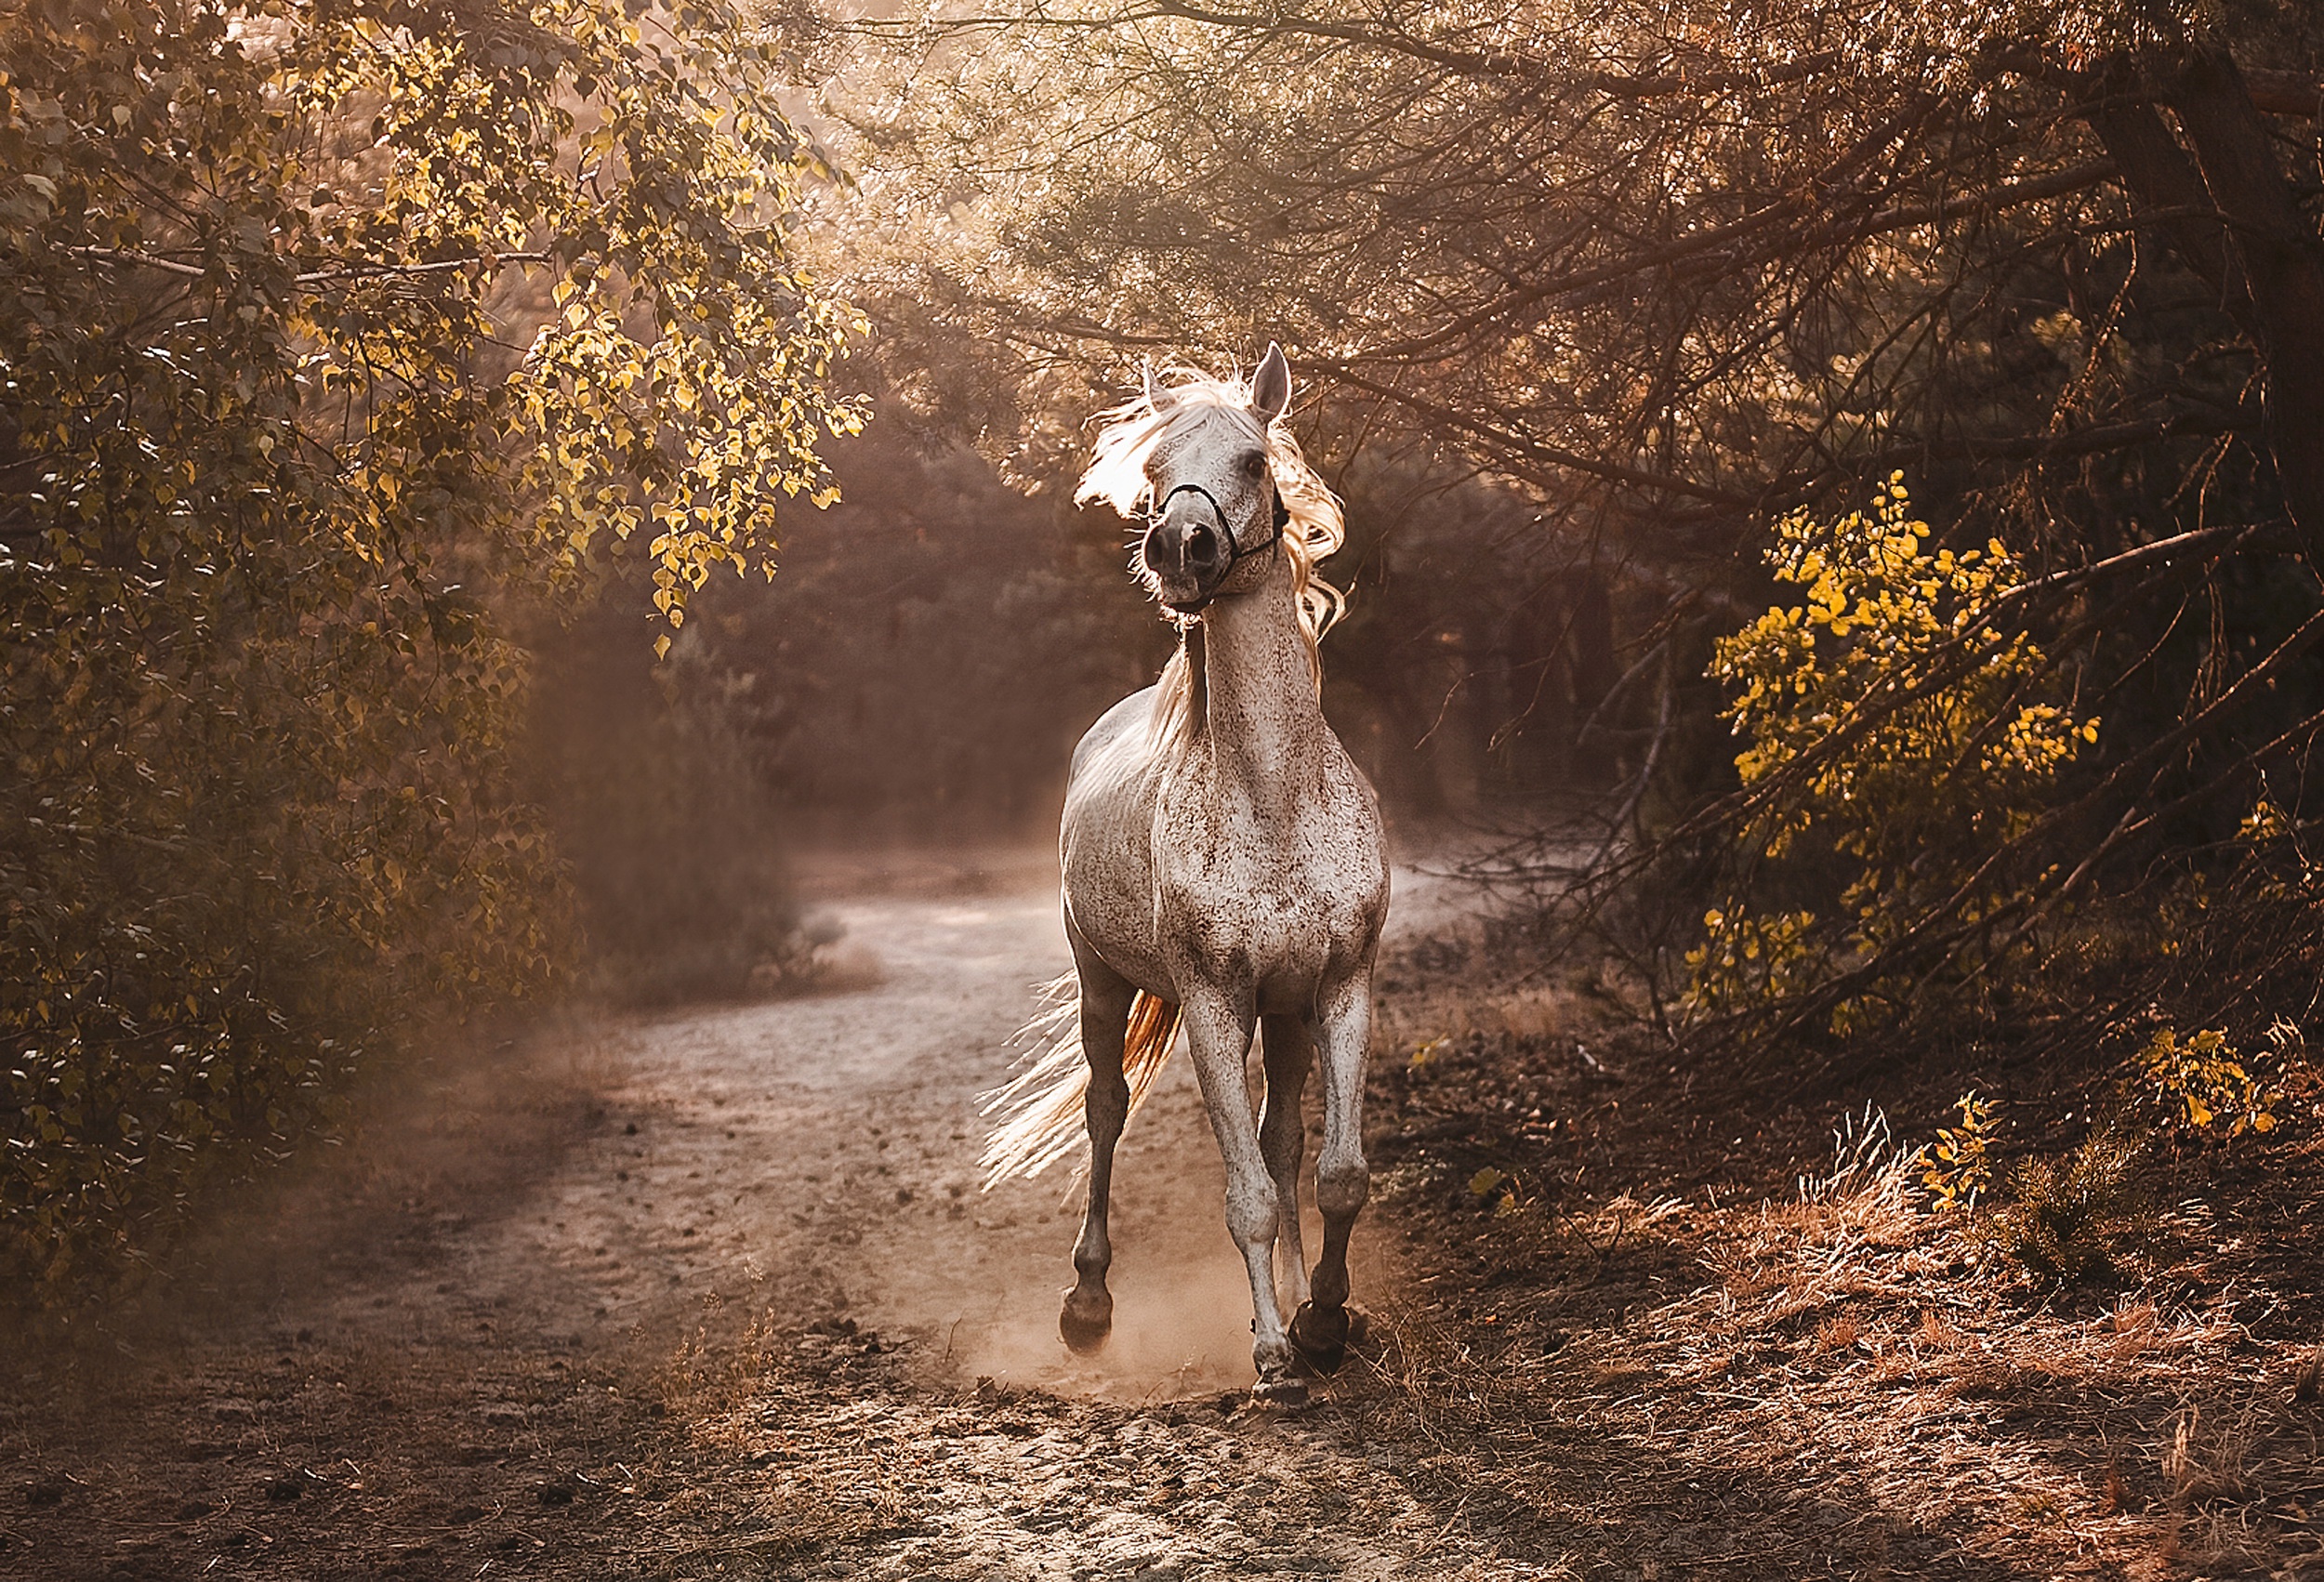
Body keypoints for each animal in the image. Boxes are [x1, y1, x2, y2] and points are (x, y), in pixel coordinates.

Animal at [976, 346, 1376, 1393]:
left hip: (1284, 1009)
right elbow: (1247, 1195)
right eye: (1153, 472)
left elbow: (1334, 1174)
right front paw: (1274, 1354)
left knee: (1283, 1141)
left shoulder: (1341, 986)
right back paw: (1087, 1303)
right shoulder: (1210, 1003)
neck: (1274, 799)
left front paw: (1325, 1319)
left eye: (1250, 459)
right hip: (1102, 981)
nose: (1178, 548)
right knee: (1106, 1110)